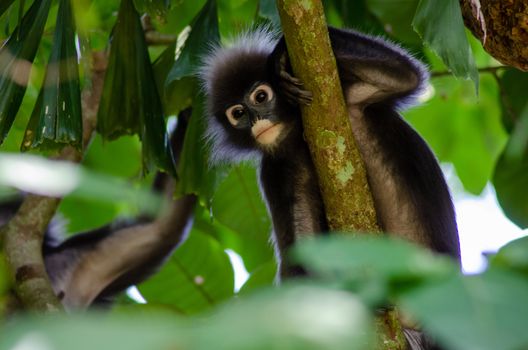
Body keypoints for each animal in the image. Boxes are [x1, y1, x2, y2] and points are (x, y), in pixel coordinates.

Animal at [200, 26, 460, 278]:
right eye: (238, 113)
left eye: (261, 97)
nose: (256, 121)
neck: (297, 137)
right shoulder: (272, 171)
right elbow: (301, 255)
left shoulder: (348, 95)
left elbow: (405, 75)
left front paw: (280, 54)